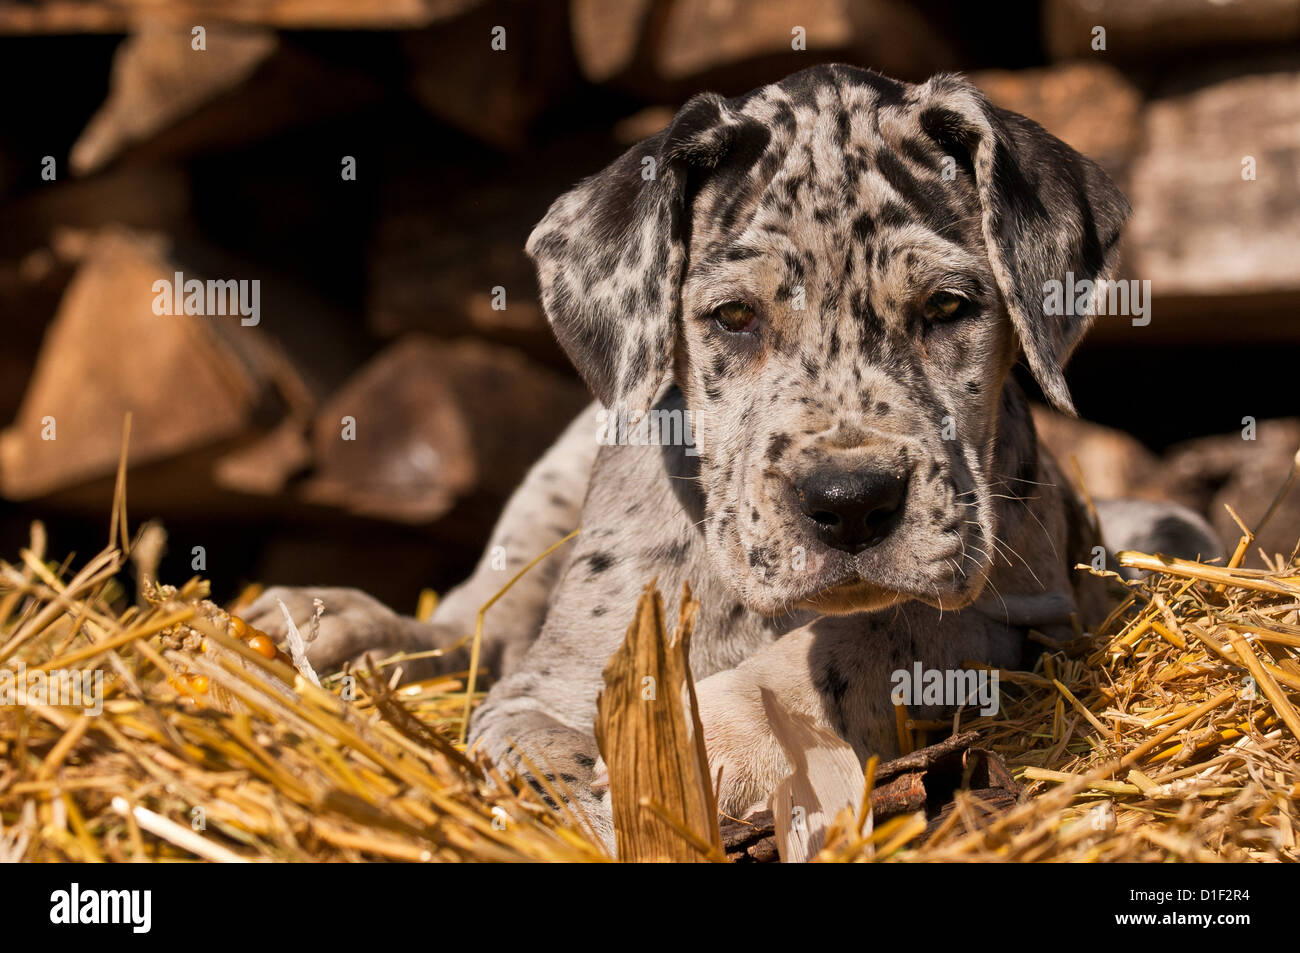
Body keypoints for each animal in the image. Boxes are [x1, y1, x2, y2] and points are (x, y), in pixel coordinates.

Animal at [248, 63, 1222, 842]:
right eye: (735, 317)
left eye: (949, 307)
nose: (851, 501)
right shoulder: (539, 690)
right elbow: (538, 738)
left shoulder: (1025, 610)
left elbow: (882, 631)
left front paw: (723, 728)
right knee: (464, 623)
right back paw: (326, 618)